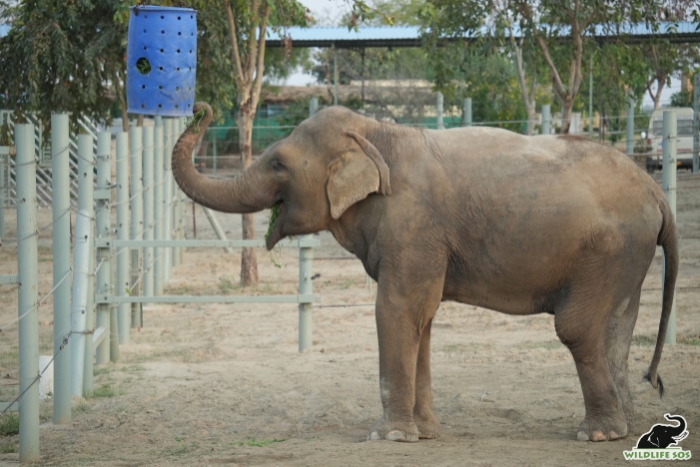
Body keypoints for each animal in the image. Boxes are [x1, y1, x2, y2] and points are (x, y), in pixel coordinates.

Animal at [171, 103, 680, 446]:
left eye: (278, 164)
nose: (199, 108)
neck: (375, 134)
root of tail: (656, 190)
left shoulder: (412, 227)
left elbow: (396, 311)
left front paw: (389, 438)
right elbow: (423, 320)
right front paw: (426, 434)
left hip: (607, 250)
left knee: (577, 327)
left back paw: (596, 435)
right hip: (626, 257)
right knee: (617, 328)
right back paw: (627, 428)